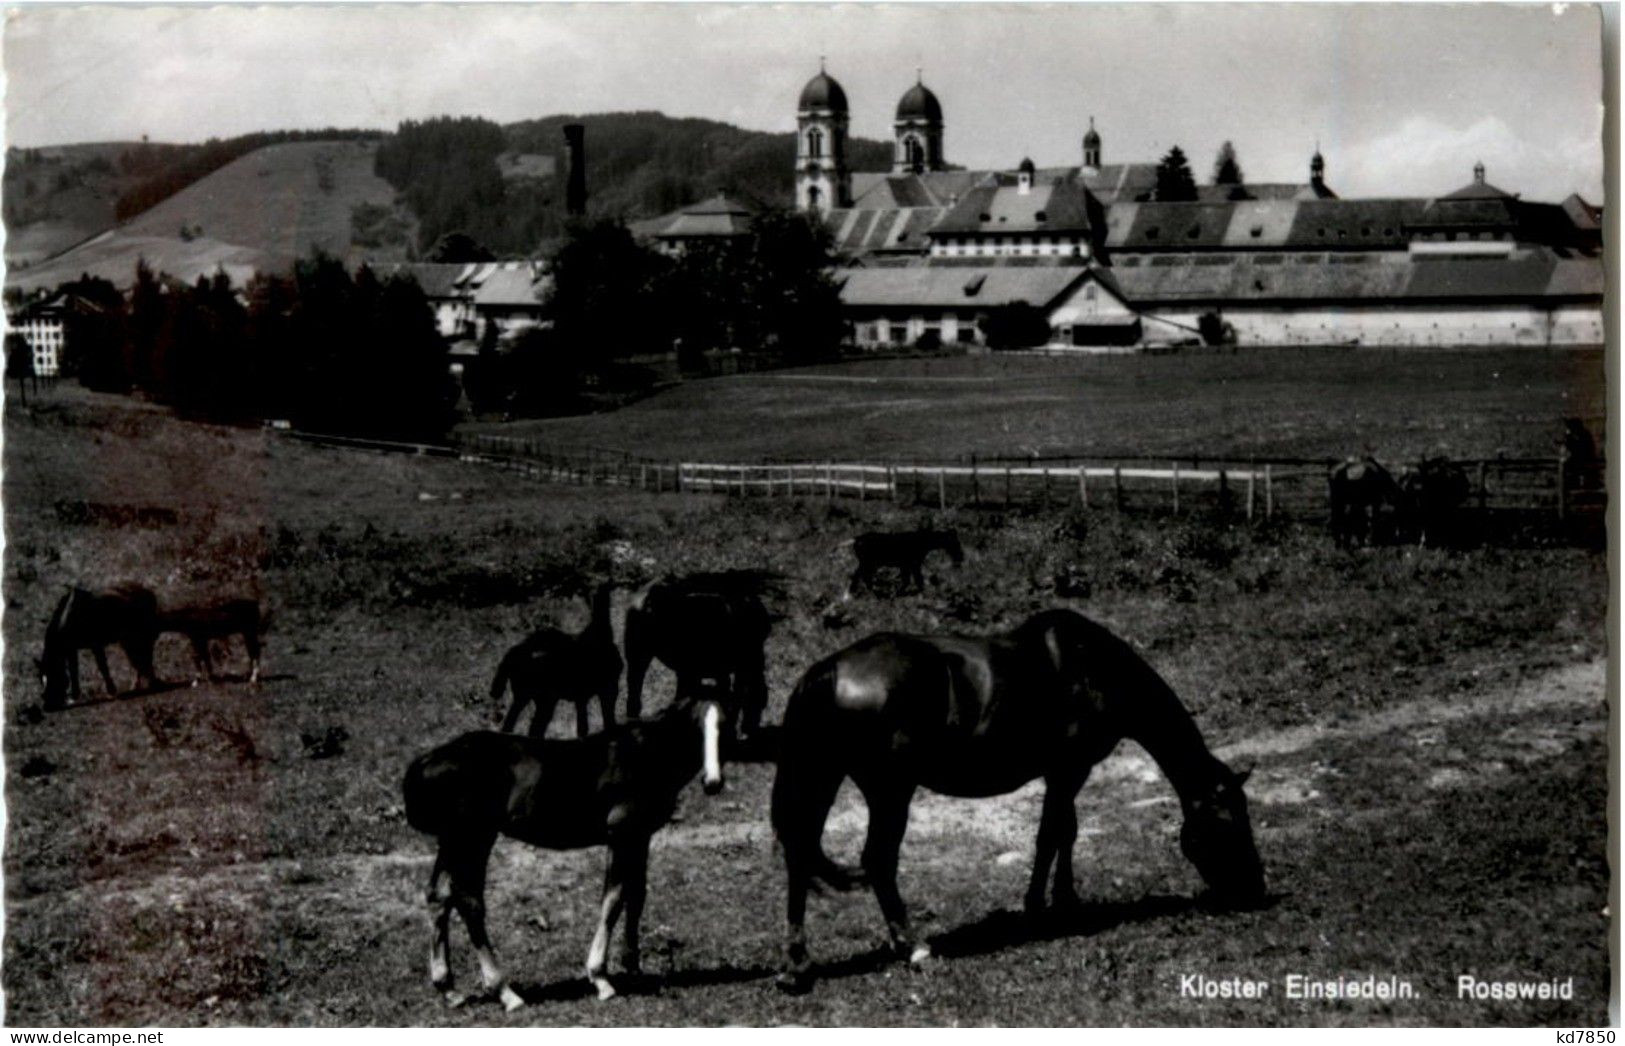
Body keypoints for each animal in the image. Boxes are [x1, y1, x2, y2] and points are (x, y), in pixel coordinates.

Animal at [38, 581, 160, 711]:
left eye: (54, 676)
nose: (46, 707)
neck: (70, 617)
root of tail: (148, 593)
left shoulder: (95, 645)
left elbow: (102, 667)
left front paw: (112, 691)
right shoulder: (72, 650)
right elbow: (73, 671)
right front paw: (74, 696)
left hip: (141, 637)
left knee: (145, 657)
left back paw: (152, 683)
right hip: (128, 640)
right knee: (138, 660)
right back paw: (138, 685)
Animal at [406, 675, 731, 1007]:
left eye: (726, 723)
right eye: (695, 725)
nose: (713, 783)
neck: (645, 754)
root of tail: (426, 762)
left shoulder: (641, 836)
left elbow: (637, 894)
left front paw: (634, 967)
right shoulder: (621, 834)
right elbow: (613, 899)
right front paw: (601, 978)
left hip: (452, 841)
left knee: (439, 896)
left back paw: (449, 988)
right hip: (473, 838)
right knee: (468, 900)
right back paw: (506, 992)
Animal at [487, 584, 620, 740]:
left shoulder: (587, 693)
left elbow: (589, 722)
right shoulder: (601, 689)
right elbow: (599, 719)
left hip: (528, 695)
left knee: (522, 723)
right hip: (541, 696)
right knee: (531, 725)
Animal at [767, 607, 1261, 994]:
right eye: (1230, 822)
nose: (1255, 889)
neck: (1091, 666)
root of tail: (828, 671)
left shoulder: (1064, 773)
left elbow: (1062, 832)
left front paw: (1060, 901)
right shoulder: (1069, 769)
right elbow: (1054, 833)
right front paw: (1047, 906)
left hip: (825, 779)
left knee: (801, 857)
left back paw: (797, 966)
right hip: (890, 791)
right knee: (877, 860)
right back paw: (913, 946)